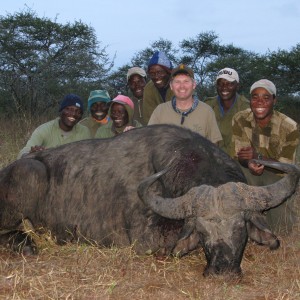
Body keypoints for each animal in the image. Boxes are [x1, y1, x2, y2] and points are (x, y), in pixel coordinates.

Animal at [0, 125, 298, 276]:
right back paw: (27, 245)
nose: (222, 270)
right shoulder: (144, 239)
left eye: (240, 227)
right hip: (31, 173)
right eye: (202, 232)